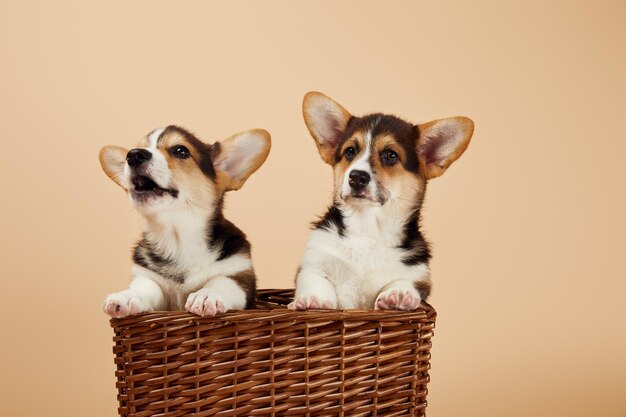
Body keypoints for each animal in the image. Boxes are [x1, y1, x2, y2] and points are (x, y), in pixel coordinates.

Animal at [98, 125, 270, 316]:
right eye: (138, 147)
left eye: (181, 151)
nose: (134, 155)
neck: (178, 239)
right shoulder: (147, 277)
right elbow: (146, 287)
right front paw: (128, 296)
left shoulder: (240, 275)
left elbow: (222, 282)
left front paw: (206, 295)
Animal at [290, 92, 470, 310]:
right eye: (350, 151)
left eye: (390, 155)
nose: (357, 177)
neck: (368, 227)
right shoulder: (313, 261)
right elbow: (314, 278)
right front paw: (314, 299)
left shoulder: (418, 275)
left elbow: (406, 282)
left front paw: (399, 294)